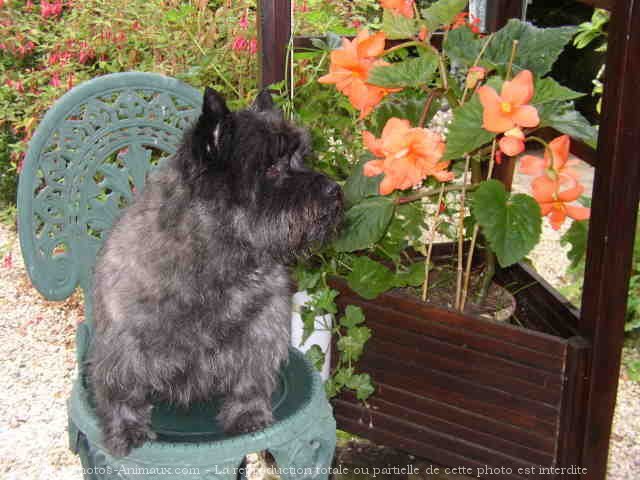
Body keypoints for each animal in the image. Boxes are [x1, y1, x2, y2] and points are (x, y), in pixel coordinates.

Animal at [89, 87, 344, 458]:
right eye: (272, 166)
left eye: (301, 157)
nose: (334, 191)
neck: (220, 257)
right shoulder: (125, 344)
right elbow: (122, 388)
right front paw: (126, 429)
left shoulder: (261, 330)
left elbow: (251, 379)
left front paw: (249, 415)